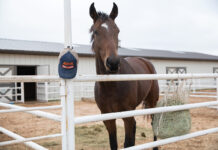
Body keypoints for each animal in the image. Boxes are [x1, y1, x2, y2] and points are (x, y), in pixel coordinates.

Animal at [89, 2, 159, 150]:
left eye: (117, 31)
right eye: (96, 31)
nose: (113, 63)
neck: (112, 85)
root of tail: (146, 61)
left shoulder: (127, 116)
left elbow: (128, 143)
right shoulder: (108, 118)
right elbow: (114, 143)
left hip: (152, 101)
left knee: (153, 123)